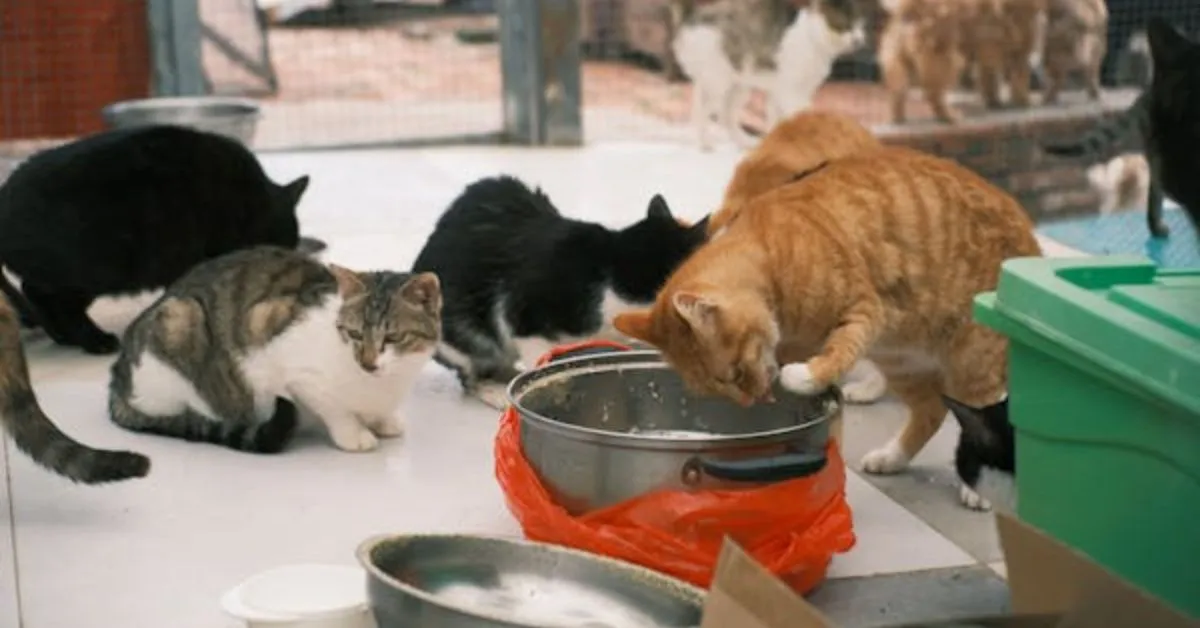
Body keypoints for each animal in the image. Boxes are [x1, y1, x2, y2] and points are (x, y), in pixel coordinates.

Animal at [109, 247, 441, 456]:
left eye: (393, 337)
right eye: (355, 333)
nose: (368, 363)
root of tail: (118, 374)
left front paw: (382, 420)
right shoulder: (280, 349)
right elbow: (335, 409)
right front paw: (354, 434)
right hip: (179, 322)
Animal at [614, 146, 1046, 487]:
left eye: (733, 373)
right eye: (716, 389)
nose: (750, 401)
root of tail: (1030, 235)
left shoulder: (865, 311)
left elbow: (837, 352)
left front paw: (802, 375)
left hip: (971, 364)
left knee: (989, 419)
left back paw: (978, 491)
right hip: (901, 361)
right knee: (931, 411)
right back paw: (891, 457)